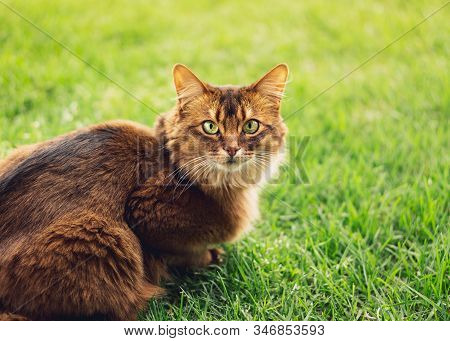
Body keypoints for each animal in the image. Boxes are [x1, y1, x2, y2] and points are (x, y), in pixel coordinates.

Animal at [0, 63, 288, 318]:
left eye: (250, 126)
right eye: (210, 127)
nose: (232, 149)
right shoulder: (145, 212)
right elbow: (182, 251)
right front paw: (209, 257)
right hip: (106, 237)